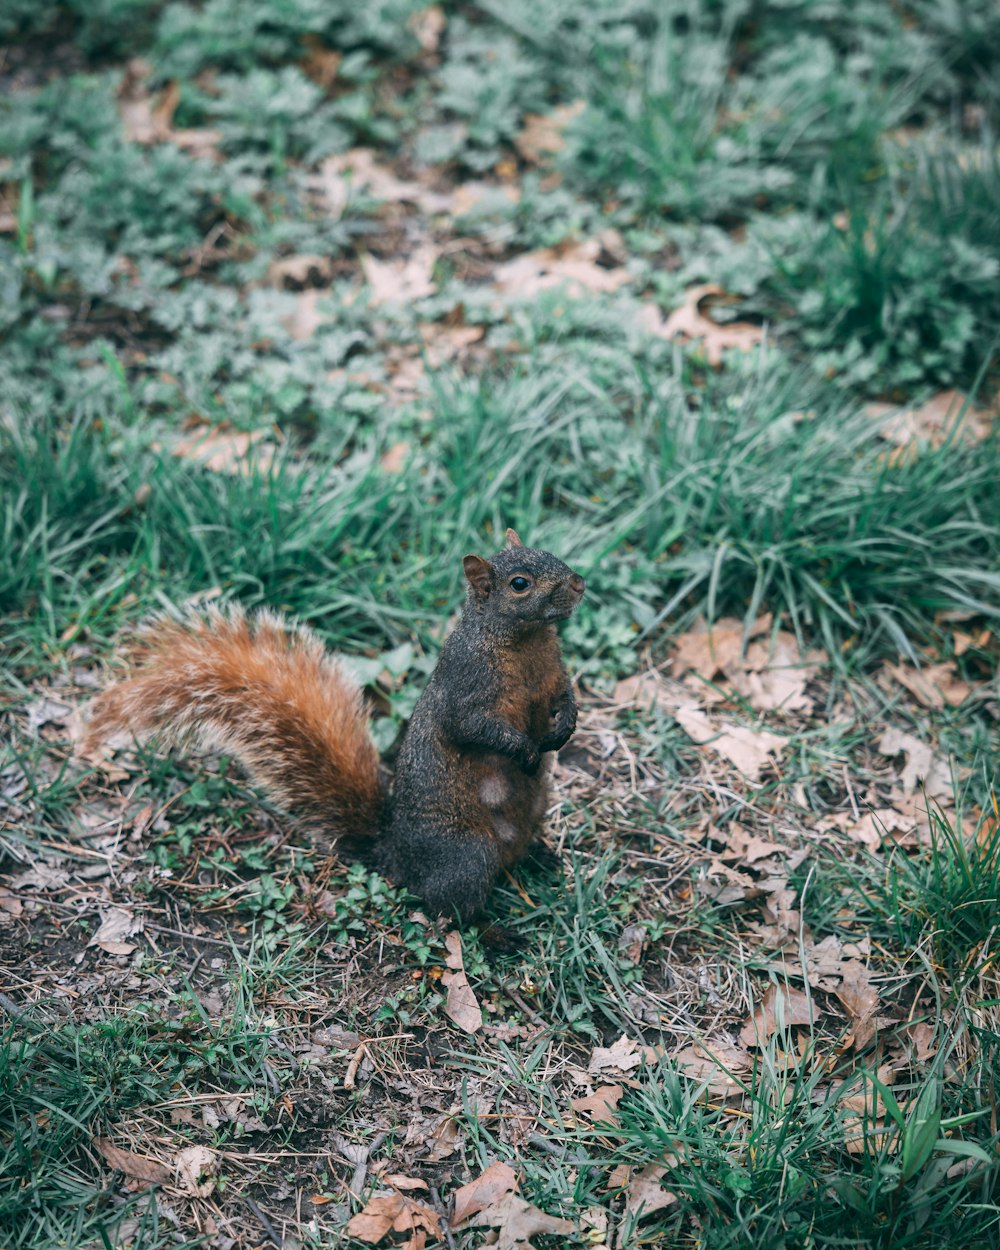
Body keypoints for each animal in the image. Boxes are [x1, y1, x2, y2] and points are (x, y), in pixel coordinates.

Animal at [88, 527, 585, 920]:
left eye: (549, 553)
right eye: (519, 584)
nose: (579, 583)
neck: (526, 642)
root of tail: (396, 855)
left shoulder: (554, 676)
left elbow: (565, 697)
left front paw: (565, 728)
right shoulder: (466, 686)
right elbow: (473, 727)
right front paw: (522, 749)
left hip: (535, 808)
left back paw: (541, 857)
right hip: (467, 856)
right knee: (454, 911)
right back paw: (498, 933)